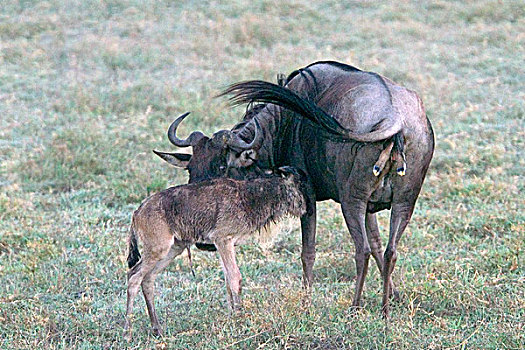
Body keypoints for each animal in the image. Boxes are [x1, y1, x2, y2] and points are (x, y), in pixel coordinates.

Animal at [124, 167, 304, 336]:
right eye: (298, 186)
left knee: (147, 278)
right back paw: (128, 332)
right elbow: (235, 277)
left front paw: (232, 317)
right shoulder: (223, 240)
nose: (304, 208)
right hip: (158, 249)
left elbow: (228, 280)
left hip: (173, 249)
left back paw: (157, 329)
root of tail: (137, 213)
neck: (249, 198)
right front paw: (239, 320)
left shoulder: (224, 245)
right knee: (133, 277)